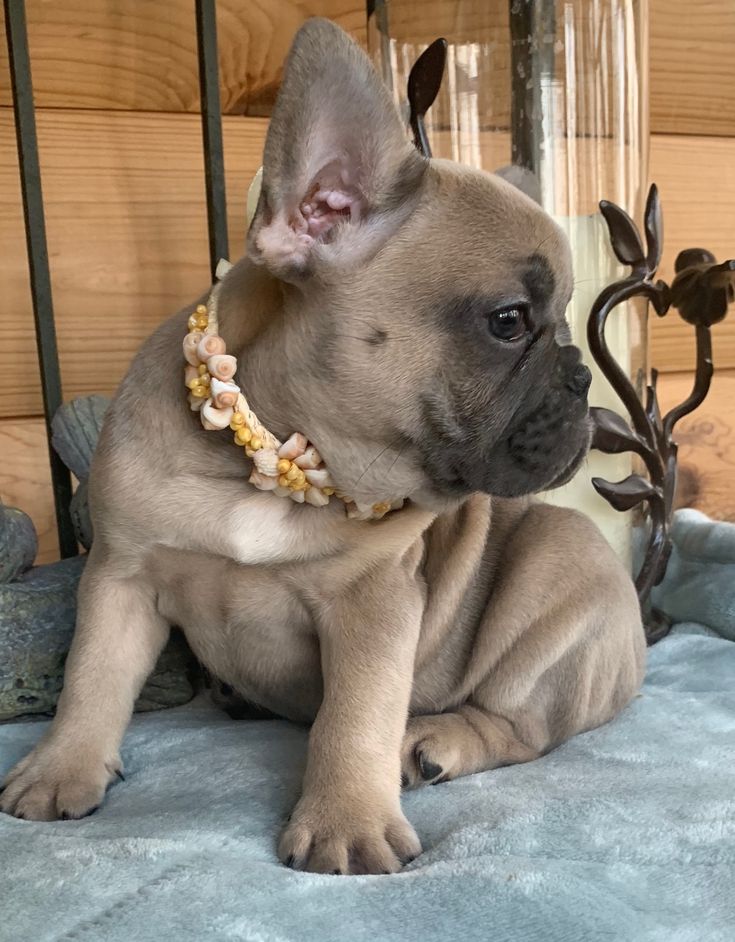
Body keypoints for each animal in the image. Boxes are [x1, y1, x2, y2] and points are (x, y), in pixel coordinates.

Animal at [0, 20, 644, 876]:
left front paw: (347, 822)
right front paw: (60, 767)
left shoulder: (375, 601)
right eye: (509, 321)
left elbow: (355, 714)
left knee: (522, 728)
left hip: (560, 563)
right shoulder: (121, 574)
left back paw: (436, 741)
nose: (579, 378)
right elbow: (91, 677)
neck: (265, 461)